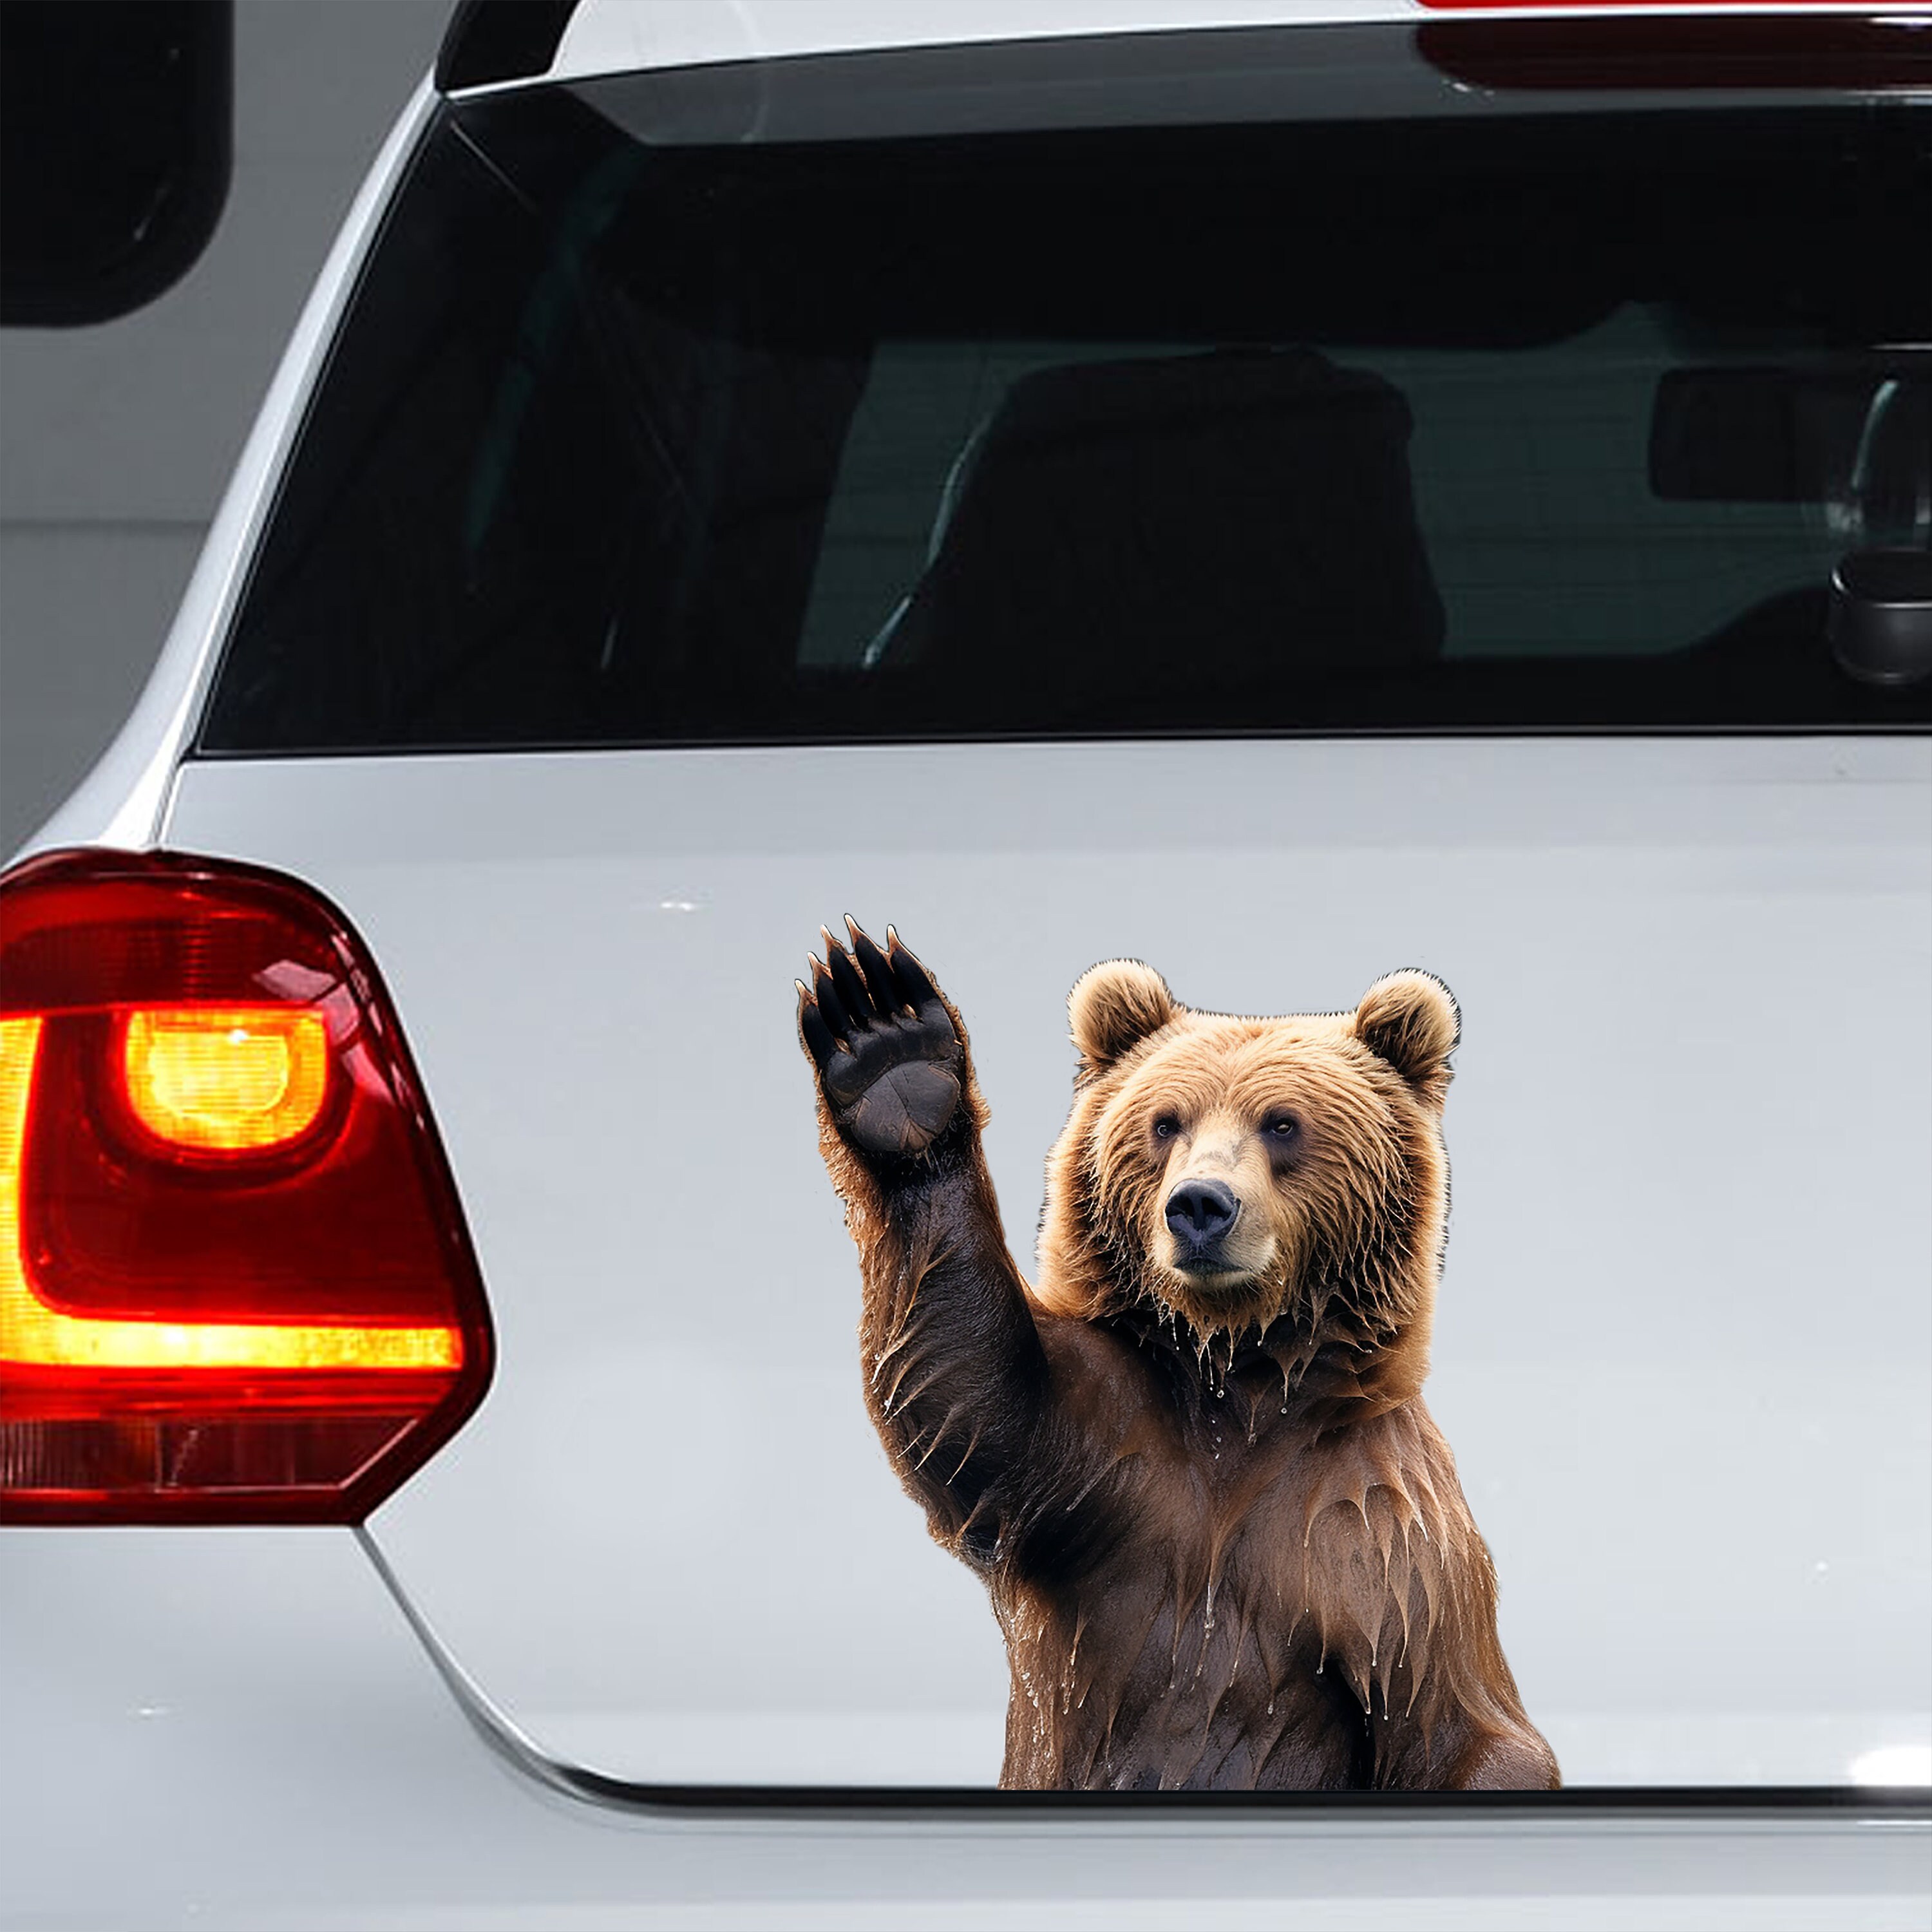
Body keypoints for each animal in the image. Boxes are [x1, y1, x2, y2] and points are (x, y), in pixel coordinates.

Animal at [796, 917, 1558, 1792]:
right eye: (1167, 1122)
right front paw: (892, 1051)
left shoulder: (1378, 1529)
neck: (1237, 1383)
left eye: (1282, 1123)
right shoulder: (1111, 1460)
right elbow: (969, 1403)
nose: (1200, 1205)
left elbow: (1457, 1724)